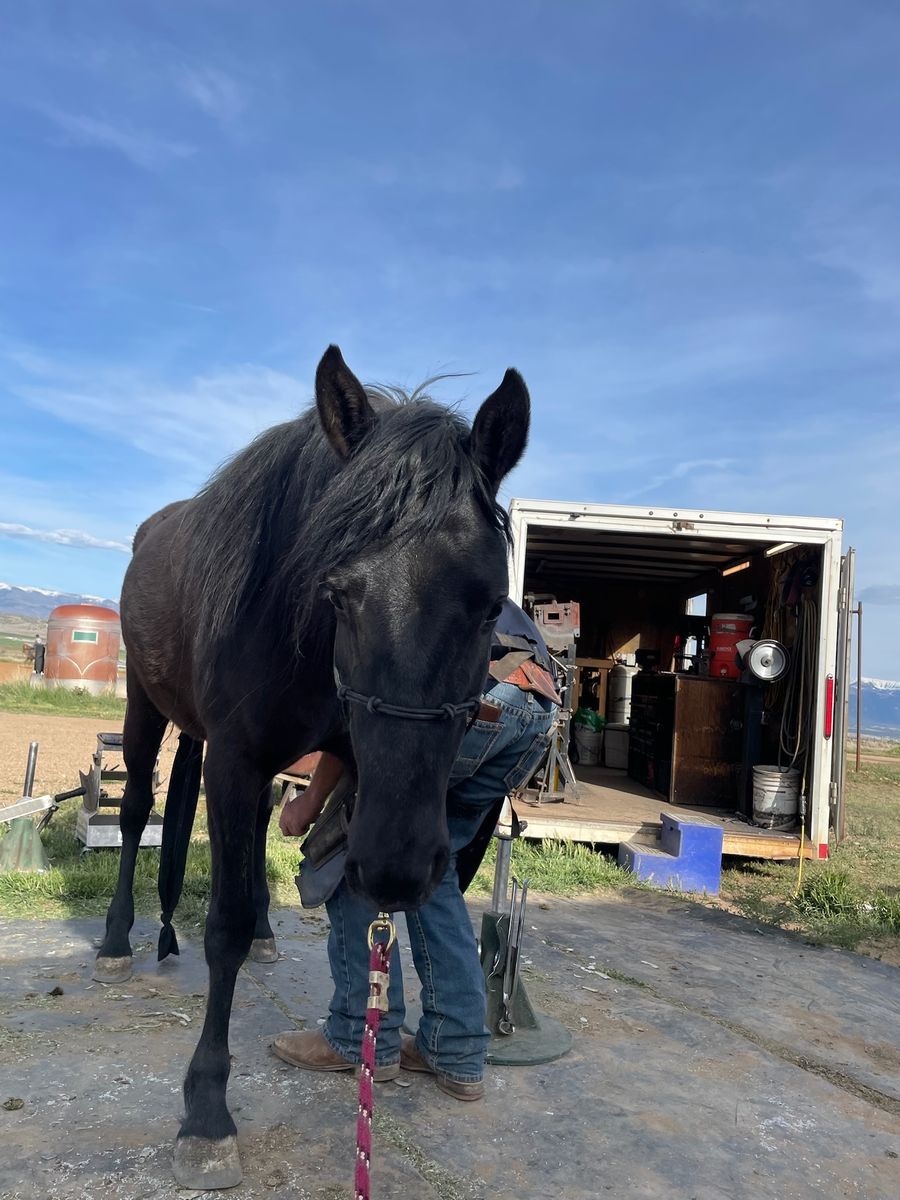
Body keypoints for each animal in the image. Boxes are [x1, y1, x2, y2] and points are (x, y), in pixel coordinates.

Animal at [94, 345, 530, 1189]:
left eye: (493, 604)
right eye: (339, 590)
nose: (400, 866)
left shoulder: (357, 778)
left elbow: (347, 905)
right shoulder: (234, 760)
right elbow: (223, 928)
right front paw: (206, 1111)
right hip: (143, 708)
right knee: (133, 816)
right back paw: (116, 943)